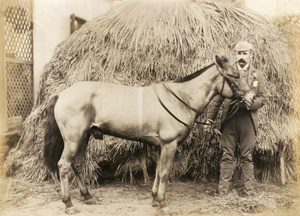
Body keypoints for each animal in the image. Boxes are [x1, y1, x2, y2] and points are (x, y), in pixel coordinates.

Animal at [43, 54, 254, 213]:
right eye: (235, 75)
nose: (252, 96)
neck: (180, 99)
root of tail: (62, 94)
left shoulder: (162, 145)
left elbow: (158, 171)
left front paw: (154, 199)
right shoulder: (169, 144)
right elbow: (164, 172)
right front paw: (162, 202)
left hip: (84, 137)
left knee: (77, 165)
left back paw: (87, 196)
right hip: (73, 138)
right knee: (64, 165)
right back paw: (68, 203)